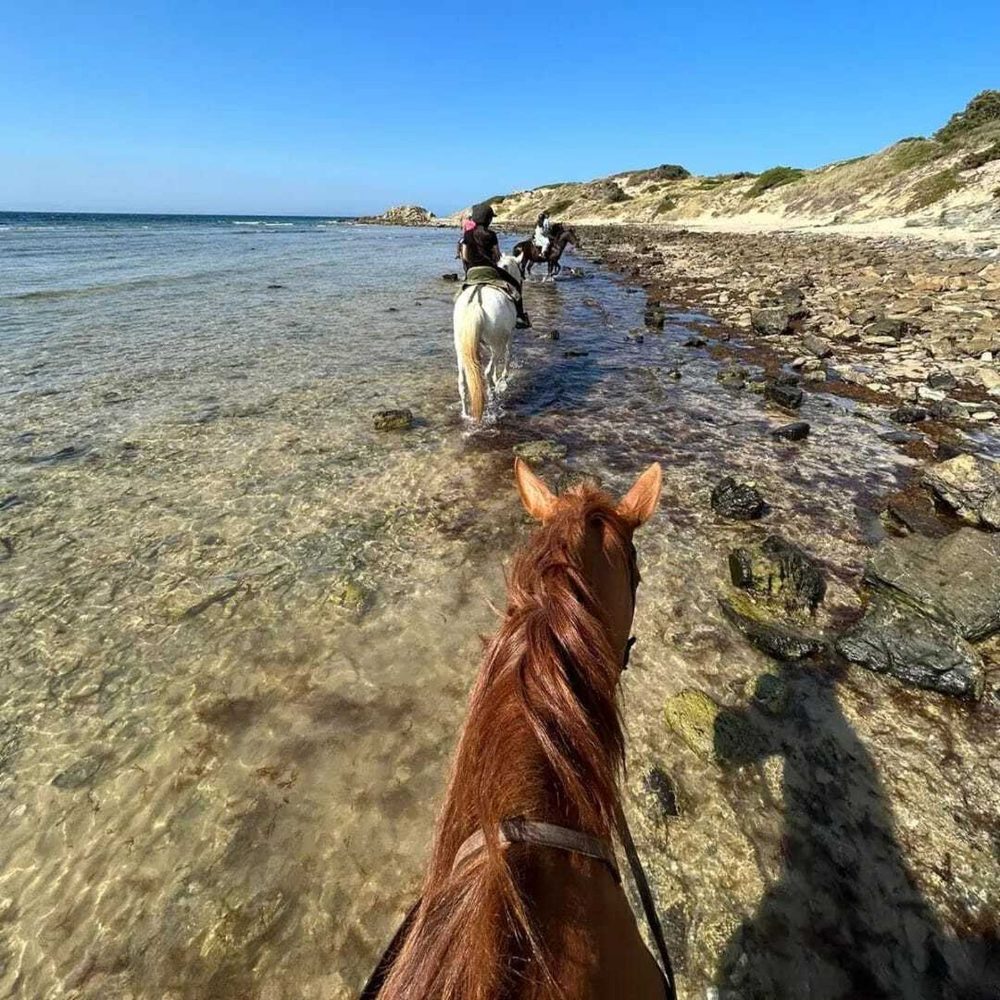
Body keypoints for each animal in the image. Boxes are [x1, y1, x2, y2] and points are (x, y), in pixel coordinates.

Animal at [453, 254, 522, 422]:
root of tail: (475, 303)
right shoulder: (509, 336)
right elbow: (508, 355)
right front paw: (503, 378)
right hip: (497, 345)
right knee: (488, 372)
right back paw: (493, 396)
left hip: (461, 348)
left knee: (462, 382)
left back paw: (466, 414)